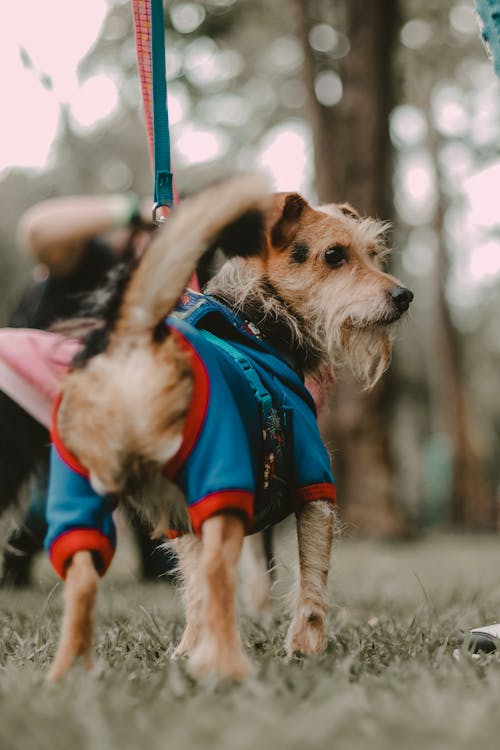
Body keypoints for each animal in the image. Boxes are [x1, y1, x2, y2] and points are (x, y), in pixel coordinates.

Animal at [46, 175, 414, 680]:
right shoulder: (314, 484)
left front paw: (186, 651)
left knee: (84, 582)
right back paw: (227, 669)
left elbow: (196, 595)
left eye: (374, 253)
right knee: (220, 578)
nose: (403, 296)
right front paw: (307, 649)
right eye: (335, 256)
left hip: (81, 499)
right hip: (222, 485)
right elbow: (312, 582)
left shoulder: (182, 520)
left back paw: (69, 676)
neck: (257, 321)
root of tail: (135, 340)